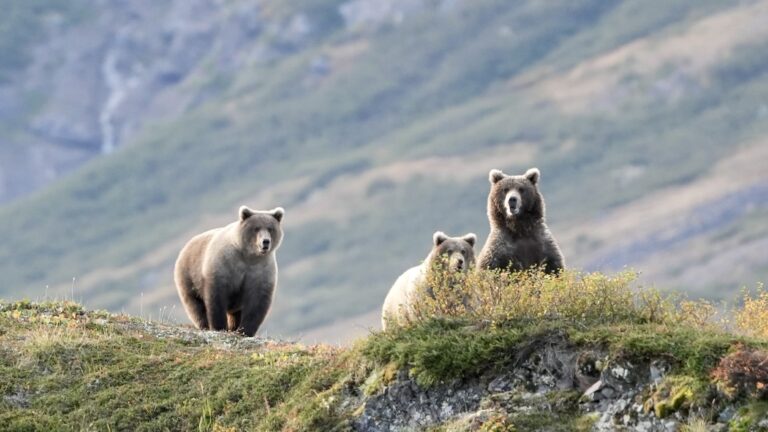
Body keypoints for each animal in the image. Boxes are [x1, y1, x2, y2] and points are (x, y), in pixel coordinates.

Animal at [174, 206, 284, 338]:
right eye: (256, 228)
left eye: (270, 228)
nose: (265, 241)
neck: (248, 256)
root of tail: (188, 244)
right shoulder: (225, 264)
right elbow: (217, 296)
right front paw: (219, 326)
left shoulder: (261, 270)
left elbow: (257, 302)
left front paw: (245, 330)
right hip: (189, 274)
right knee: (195, 304)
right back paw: (204, 325)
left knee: (235, 313)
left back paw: (233, 327)